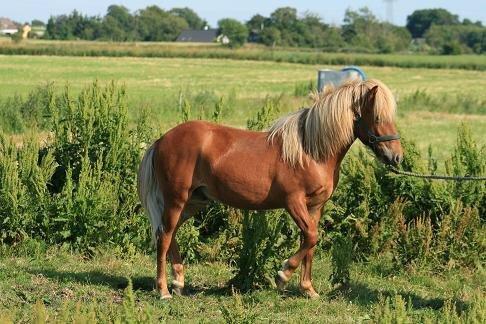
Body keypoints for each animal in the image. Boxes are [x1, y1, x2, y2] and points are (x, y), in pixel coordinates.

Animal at [140, 78, 402, 298]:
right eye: (378, 118)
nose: (397, 157)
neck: (310, 152)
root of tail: (162, 140)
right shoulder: (293, 202)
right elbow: (311, 237)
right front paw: (283, 275)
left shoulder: (316, 207)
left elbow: (311, 243)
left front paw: (308, 290)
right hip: (176, 199)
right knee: (164, 236)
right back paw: (163, 290)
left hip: (193, 202)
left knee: (169, 233)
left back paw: (178, 282)